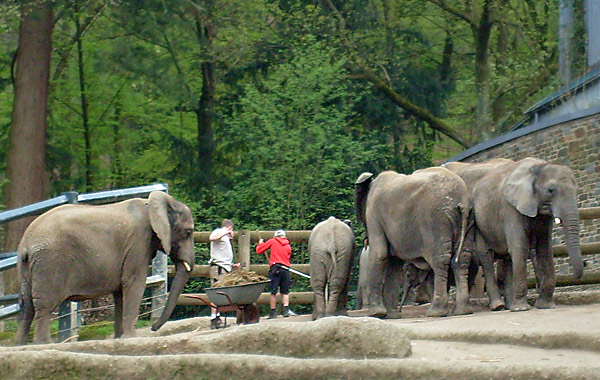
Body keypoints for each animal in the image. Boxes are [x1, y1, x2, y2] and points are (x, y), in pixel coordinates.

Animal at [15, 191, 195, 342]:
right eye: (188, 232)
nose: (153, 328)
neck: (153, 204)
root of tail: (26, 243)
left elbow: (121, 292)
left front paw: (119, 338)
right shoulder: (137, 243)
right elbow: (134, 283)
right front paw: (130, 338)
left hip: (27, 266)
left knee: (27, 307)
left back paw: (21, 345)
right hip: (50, 262)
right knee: (44, 306)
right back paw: (43, 343)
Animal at [354, 167, 472, 318]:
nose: (400, 310)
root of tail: (461, 202)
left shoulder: (374, 213)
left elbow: (380, 254)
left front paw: (377, 314)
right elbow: (394, 263)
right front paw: (393, 316)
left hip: (435, 221)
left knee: (440, 261)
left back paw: (435, 312)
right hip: (467, 220)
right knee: (462, 259)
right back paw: (462, 311)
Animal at [446, 157, 584, 312]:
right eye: (551, 190)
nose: (578, 272)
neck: (537, 167)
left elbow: (545, 250)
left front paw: (545, 306)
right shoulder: (509, 208)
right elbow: (520, 248)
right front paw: (521, 309)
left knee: (507, 259)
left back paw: (508, 305)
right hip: (479, 224)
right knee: (486, 257)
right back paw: (499, 306)